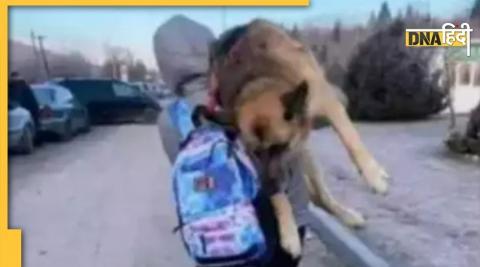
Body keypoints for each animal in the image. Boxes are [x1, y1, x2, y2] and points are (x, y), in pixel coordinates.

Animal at [195, 19, 390, 258]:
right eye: (255, 153)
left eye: (281, 146)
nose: (268, 186)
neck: (259, 81)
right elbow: (279, 199)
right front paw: (288, 231)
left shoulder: (330, 105)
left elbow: (351, 140)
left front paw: (373, 176)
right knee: (318, 198)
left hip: (308, 158)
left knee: (322, 196)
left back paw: (347, 214)